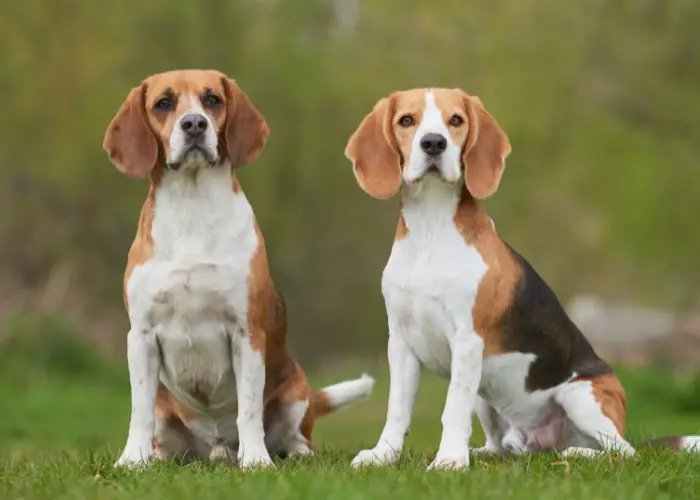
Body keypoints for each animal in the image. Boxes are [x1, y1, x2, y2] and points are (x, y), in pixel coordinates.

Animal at [102, 70, 372, 468]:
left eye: (212, 99)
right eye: (164, 103)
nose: (194, 124)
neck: (192, 205)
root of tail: (215, 448)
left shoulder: (247, 334)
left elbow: (249, 409)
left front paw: (256, 460)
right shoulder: (141, 336)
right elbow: (139, 412)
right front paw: (132, 459)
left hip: (295, 395)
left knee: (296, 438)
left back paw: (288, 455)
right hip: (168, 413)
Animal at [344, 87, 700, 468]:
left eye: (456, 120)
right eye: (406, 120)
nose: (434, 143)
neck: (431, 225)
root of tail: (541, 442)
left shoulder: (467, 341)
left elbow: (452, 409)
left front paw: (449, 461)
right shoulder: (401, 342)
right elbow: (397, 408)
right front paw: (383, 455)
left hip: (581, 396)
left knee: (623, 453)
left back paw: (577, 452)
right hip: (487, 397)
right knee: (500, 444)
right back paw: (487, 452)